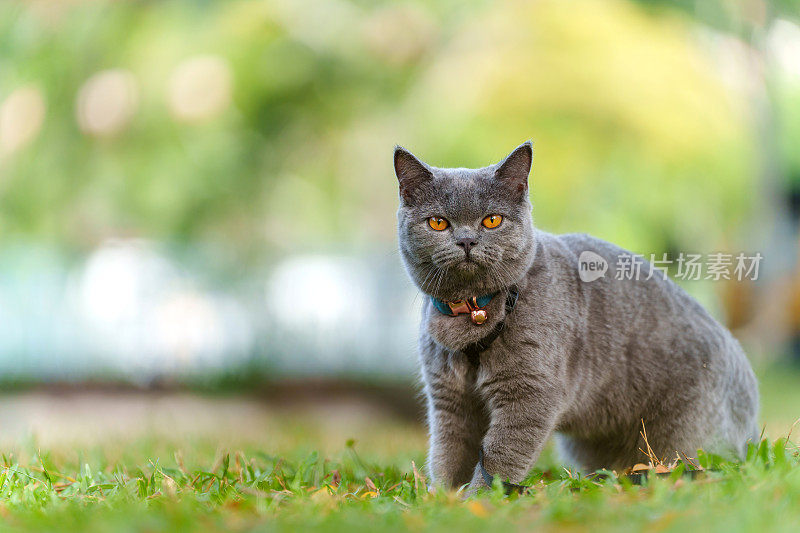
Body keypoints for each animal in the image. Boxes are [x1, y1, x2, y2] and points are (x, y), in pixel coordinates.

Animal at [396, 141, 760, 490]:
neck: (476, 311)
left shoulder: (531, 393)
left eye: (492, 220)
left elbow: (500, 457)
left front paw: (481, 499)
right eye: (438, 222)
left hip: (682, 438)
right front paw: (443, 499)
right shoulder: (449, 399)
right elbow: (449, 454)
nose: (467, 240)